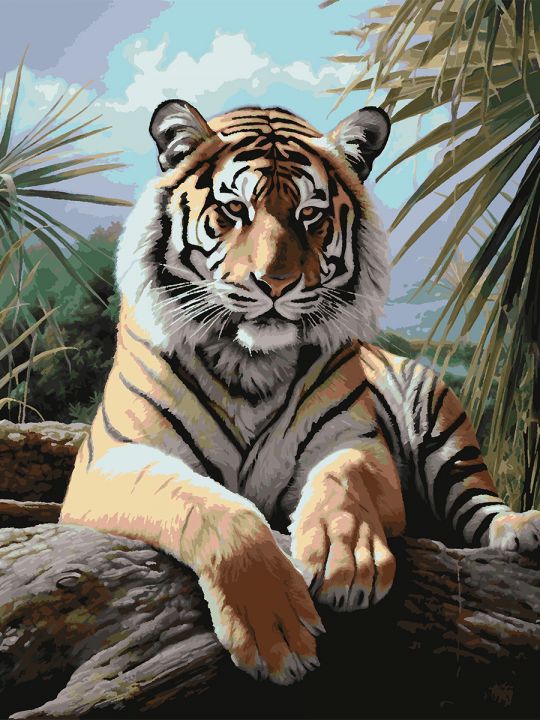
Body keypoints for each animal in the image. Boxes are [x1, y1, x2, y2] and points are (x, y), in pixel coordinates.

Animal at [61, 99, 540, 686]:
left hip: (442, 423)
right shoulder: (109, 463)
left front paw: (346, 558)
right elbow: (206, 504)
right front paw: (276, 633)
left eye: (310, 215)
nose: (275, 283)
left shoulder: (359, 443)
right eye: (234, 210)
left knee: (478, 502)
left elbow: (344, 476)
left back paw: (521, 528)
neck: (251, 363)